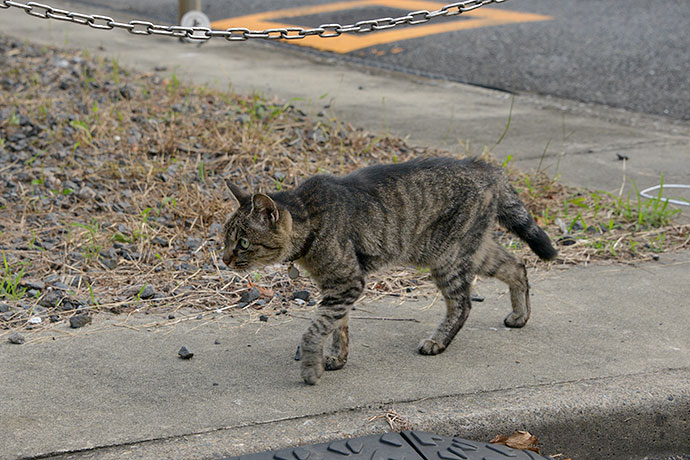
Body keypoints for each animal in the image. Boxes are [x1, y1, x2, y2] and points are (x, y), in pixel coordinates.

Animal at [223, 158, 556, 384]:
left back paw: (438, 341)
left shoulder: (347, 283)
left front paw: (310, 368)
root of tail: (489, 168)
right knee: (517, 265)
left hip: (448, 257)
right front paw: (337, 358)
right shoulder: (336, 287)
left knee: (462, 304)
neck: (311, 221)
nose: (225, 260)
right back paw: (520, 315)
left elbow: (314, 330)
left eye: (243, 242)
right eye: (224, 239)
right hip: (472, 250)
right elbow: (338, 327)